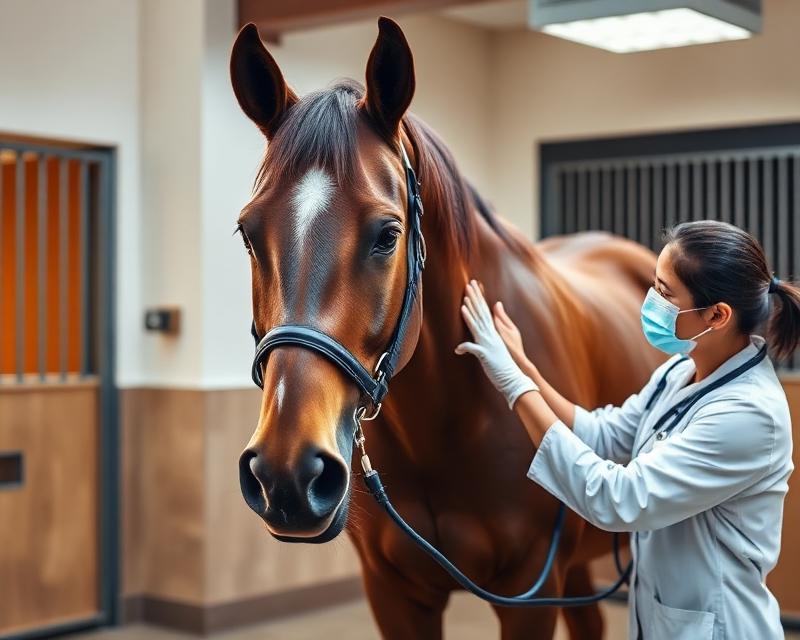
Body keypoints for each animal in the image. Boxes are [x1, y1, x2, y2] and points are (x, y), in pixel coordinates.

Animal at [230, 17, 663, 639]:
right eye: (248, 233)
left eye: (388, 234)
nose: (285, 474)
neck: (446, 421)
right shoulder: (394, 595)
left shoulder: (530, 595)